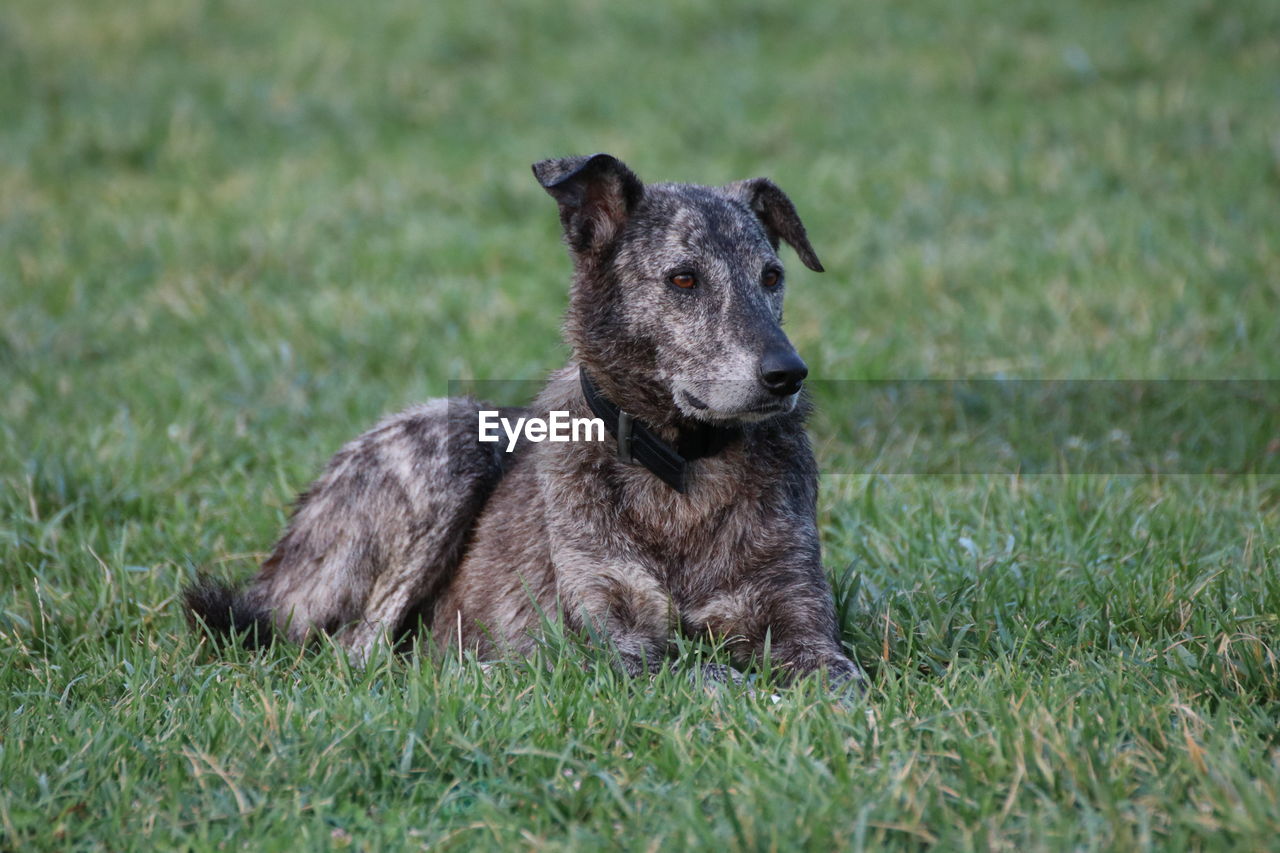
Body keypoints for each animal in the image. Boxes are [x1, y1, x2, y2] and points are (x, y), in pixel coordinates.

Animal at [186, 154, 870, 691]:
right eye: (683, 279)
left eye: (772, 277)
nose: (787, 374)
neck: (680, 470)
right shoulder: (614, 634)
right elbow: (706, 673)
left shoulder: (799, 620)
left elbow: (839, 678)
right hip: (454, 439)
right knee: (360, 653)